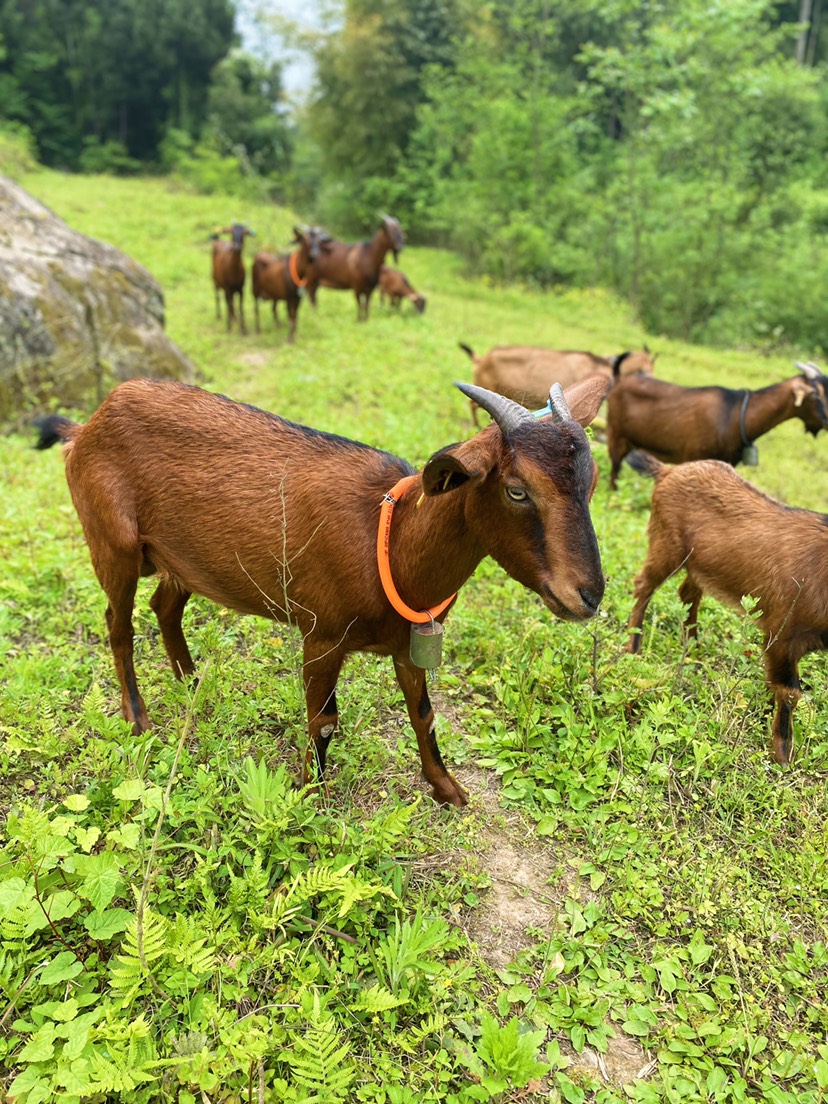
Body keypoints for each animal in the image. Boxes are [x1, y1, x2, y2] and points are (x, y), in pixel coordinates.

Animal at [35, 375, 609, 808]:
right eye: (517, 490)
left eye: (593, 481)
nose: (589, 595)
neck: (390, 543)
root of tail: (87, 424)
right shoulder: (321, 634)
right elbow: (324, 720)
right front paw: (308, 796)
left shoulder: (410, 641)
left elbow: (423, 713)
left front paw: (448, 790)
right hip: (113, 543)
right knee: (118, 623)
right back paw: (138, 717)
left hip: (182, 559)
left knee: (164, 607)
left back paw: (192, 682)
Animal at [604, 364, 828, 490]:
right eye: (815, 394)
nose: (827, 420)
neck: (735, 415)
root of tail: (619, 381)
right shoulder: (694, 457)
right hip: (616, 435)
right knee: (614, 471)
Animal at [627, 452, 828, 763]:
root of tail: (667, 471)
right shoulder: (782, 632)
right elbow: (789, 691)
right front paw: (782, 754)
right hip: (665, 546)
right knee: (643, 586)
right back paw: (633, 647)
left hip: (698, 564)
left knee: (688, 594)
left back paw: (693, 647)